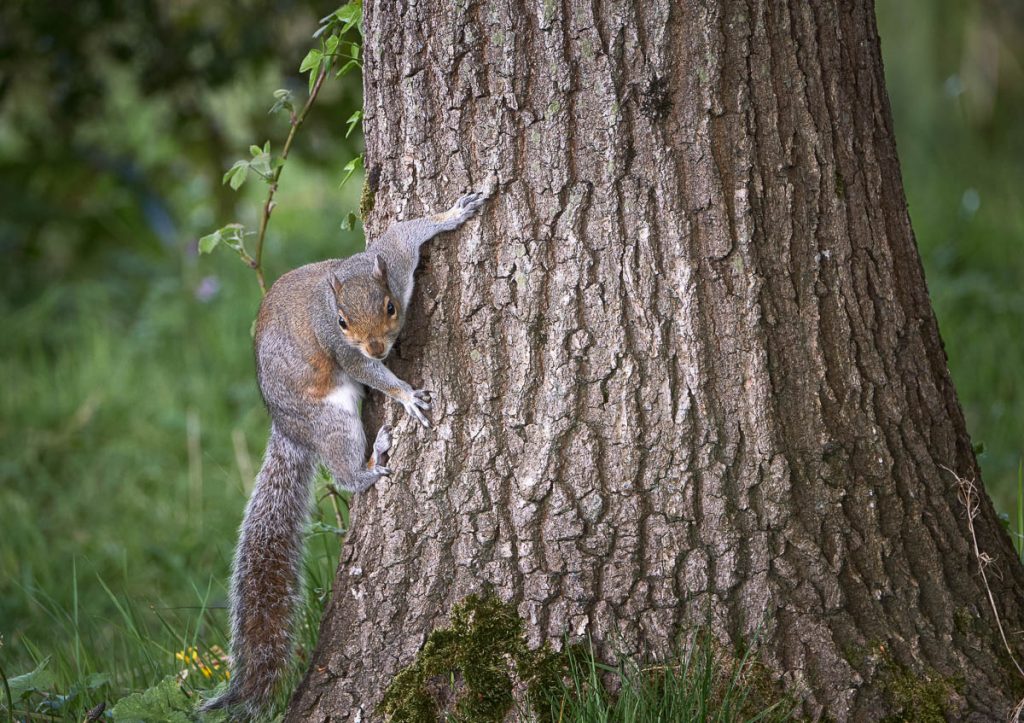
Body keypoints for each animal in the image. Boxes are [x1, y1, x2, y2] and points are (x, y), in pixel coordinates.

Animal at [202, 190, 487, 716]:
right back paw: (372, 463)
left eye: (391, 307)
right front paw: (403, 395)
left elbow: (407, 231)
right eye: (341, 322)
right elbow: (369, 372)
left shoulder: (394, 260)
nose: (377, 346)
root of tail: (287, 426)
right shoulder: (344, 350)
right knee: (344, 467)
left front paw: (452, 214)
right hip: (331, 422)